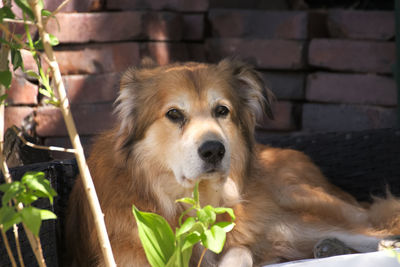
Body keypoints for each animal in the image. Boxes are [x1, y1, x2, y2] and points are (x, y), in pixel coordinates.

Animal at [65, 59, 400, 266]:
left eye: (221, 111)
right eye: (174, 114)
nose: (214, 150)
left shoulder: (245, 239)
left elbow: (239, 253)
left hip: (298, 209)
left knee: (377, 231)